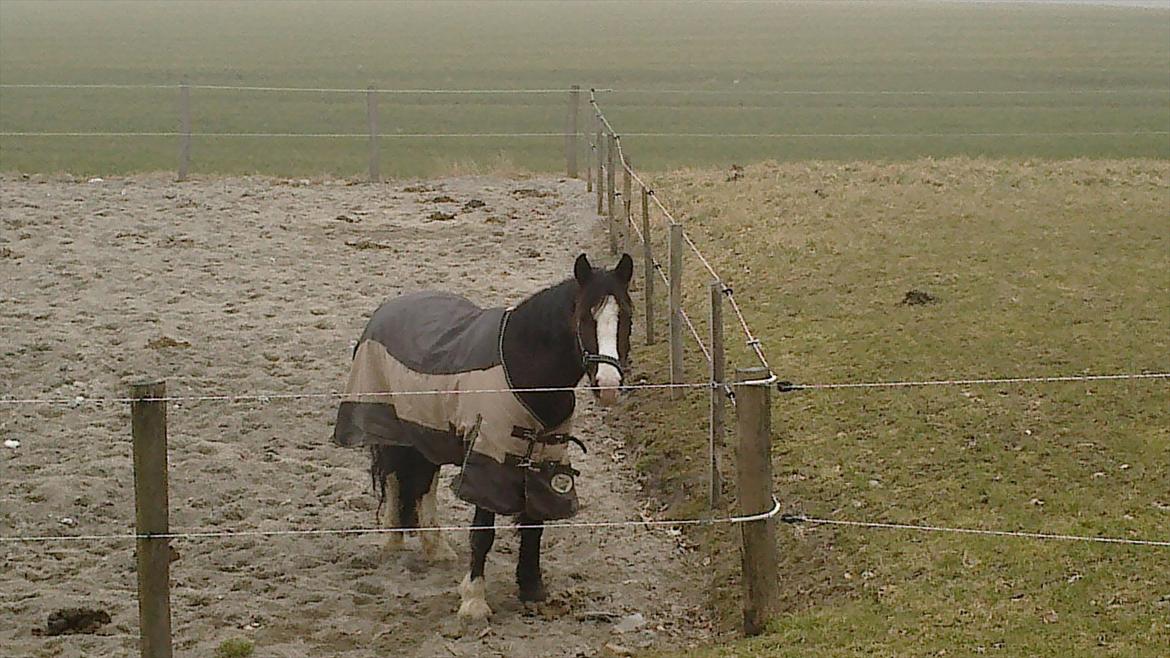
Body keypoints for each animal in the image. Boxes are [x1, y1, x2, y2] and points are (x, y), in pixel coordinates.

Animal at [334, 250, 636, 613]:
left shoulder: (543, 461)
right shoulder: (488, 457)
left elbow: (534, 524)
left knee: (425, 481)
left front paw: (531, 588)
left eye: (627, 316)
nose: (608, 384)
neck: (521, 370)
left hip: (429, 432)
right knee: (394, 477)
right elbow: (483, 532)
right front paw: (474, 599)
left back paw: (436, 547)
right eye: (583, 317)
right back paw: (392, 541)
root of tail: (386, 310)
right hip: (393, 429)